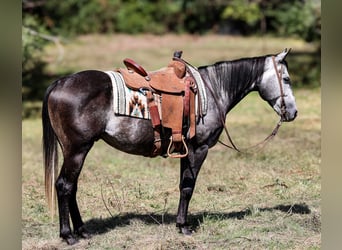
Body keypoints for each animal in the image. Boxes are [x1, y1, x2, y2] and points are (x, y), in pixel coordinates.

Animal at [42, 48, 296, 244]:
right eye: (286, 79)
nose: (293, 113)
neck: (213, 89)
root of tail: (60, 82)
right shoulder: (199, 148)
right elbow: (188, 187)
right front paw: (183, 226)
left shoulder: (186, 149)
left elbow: (183, 185)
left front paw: (179, 223)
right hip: (77, 150)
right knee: (64, 185)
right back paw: (68, 235)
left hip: (74, 150)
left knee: (72, 187)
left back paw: (83, 231)